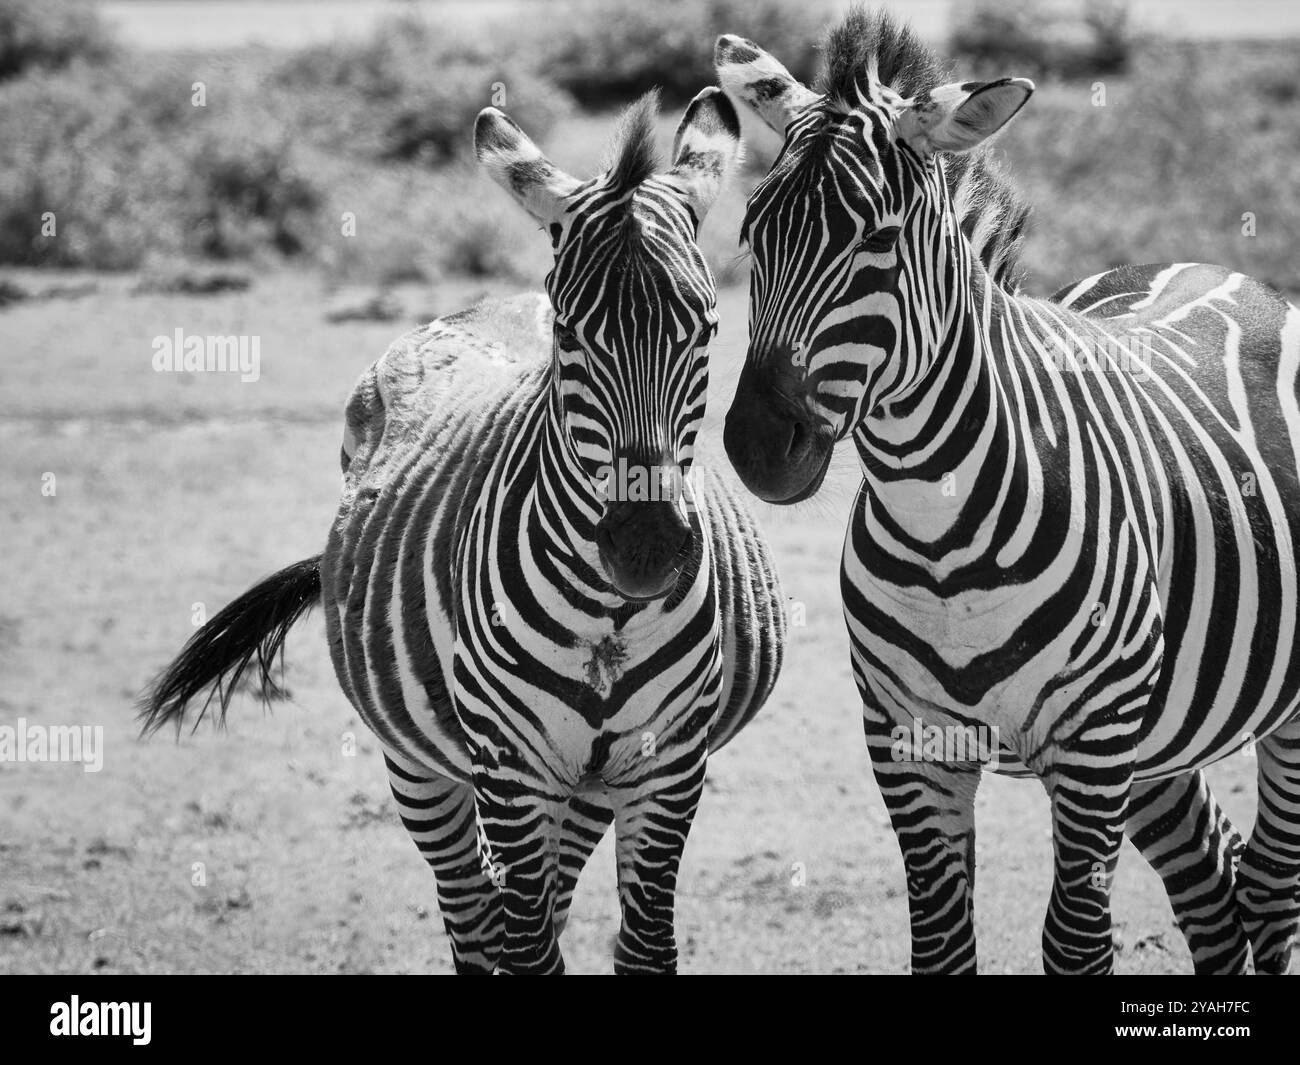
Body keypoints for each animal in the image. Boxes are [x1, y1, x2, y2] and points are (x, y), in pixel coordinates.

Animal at [147, 89, 785, 972]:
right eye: (570, 334)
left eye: (706, 328)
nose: (647, 549)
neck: (609, 617)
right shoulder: (509, 771)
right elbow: (525, 950)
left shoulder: (669, 765)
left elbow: (642, 946)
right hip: (420, 762)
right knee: (473, 916)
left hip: (585, 786)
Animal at [712, 8, 1300, 972]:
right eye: (752, 232)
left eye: (877, 238)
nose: (759, 446)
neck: (940, 528)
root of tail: (1224, 270)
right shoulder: (909, 739)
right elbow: (943, 939)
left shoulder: (1093, 742)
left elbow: (1076, 939)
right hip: (1161, 732)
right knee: (1216, 884)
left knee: (1269, 885)